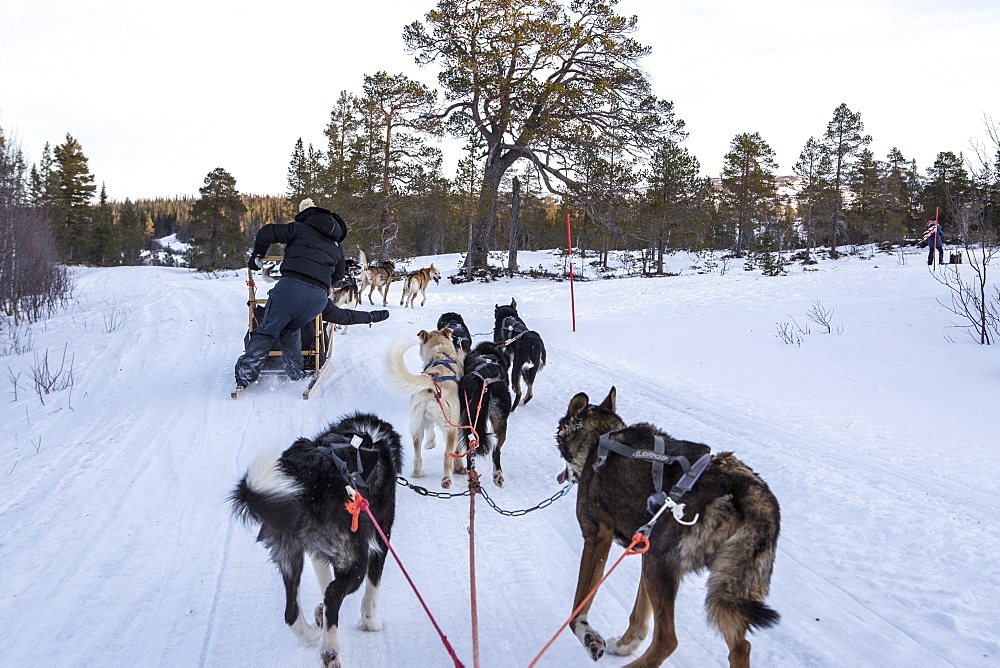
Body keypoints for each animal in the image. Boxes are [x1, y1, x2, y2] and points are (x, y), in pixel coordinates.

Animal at [232, 412, 404, 668]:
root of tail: (309, 480)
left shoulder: (318, 552)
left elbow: (324, 582)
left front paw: (321, 614)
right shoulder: (380, 538)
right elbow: (372, 586)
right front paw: (370, 622)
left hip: (290, 556)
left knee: (291, 612)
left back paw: (313, 632)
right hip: (355, 560)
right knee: (333, 594)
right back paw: (330, 650)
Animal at [384, 330, 466, 490]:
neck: (440, 351)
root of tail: (432, 381)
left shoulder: (426, 419)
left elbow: (430, 431)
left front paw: (430, 443)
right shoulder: (457, 423)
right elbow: (458, 449)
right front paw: (459, 468)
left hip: (417, 423)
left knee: (417, 453)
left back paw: (417, 472)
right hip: (450, 427)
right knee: (448, 454)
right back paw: (447, 479)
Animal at [556, 386, 780, 668]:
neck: (599, 438)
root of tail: (749, 491)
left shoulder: (597, 537)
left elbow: (578, 608)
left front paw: (588, 636)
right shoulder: (642, 544)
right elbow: (639, 615)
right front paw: (625, 644)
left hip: (659, 563)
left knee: (667, 641)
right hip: (722, 587)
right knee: (741, 647)